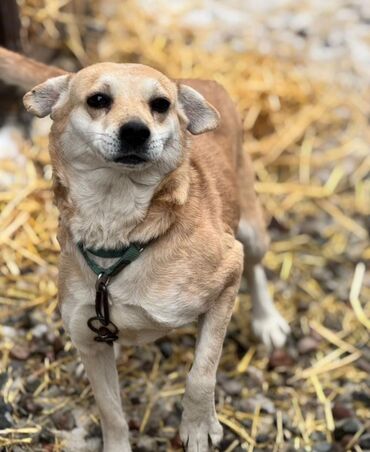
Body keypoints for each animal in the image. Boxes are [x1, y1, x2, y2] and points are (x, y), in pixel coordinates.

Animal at [0, 46, 290, 452]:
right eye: (98, 100)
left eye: (160, 105)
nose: (137, 130)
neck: (118, 227)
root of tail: (197, 80)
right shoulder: (90, 342)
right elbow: (111, 411)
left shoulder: (226, 274)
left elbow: (201, 373)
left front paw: (198, 426)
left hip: (250, 230)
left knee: (256, 268)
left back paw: (267, 321)